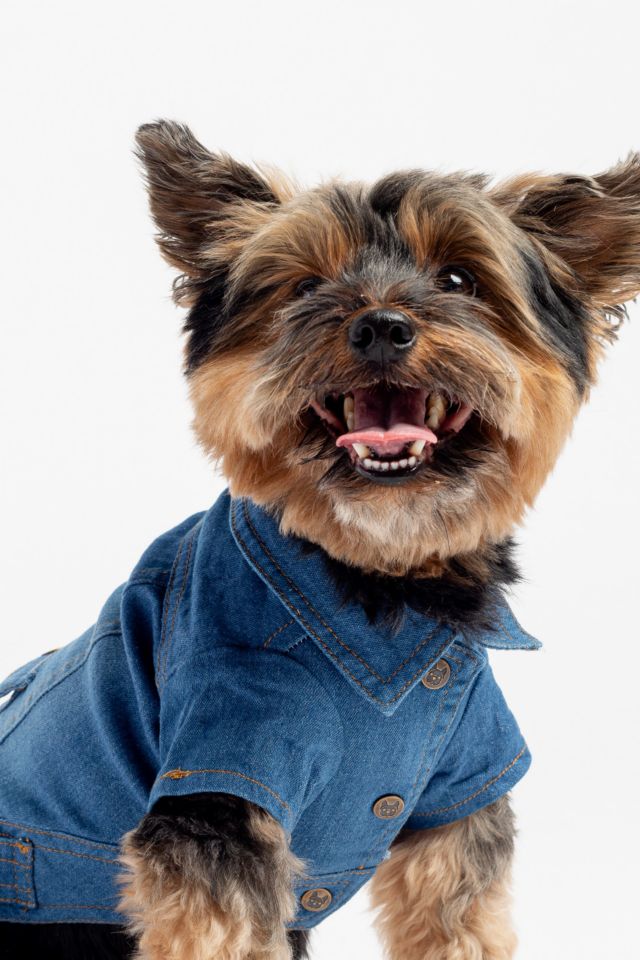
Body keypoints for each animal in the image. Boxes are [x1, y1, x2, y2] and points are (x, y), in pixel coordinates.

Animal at [0, 122, 636, 960]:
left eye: (460, 278)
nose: (381, 327)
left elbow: (458, 922)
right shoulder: (217, 786)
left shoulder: (460, 793)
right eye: (304, 288)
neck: (377, 580)